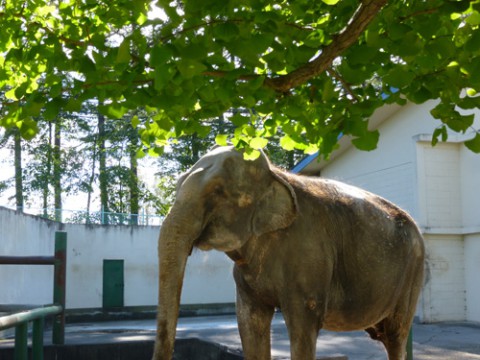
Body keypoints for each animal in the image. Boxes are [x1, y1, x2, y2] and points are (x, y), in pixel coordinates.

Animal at [153, 145, 424, 358]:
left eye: (217, 191)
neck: (276, 174)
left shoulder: (309, 253)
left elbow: (302, 326)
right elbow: (249, 323)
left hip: (413, 272)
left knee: (396, 334)